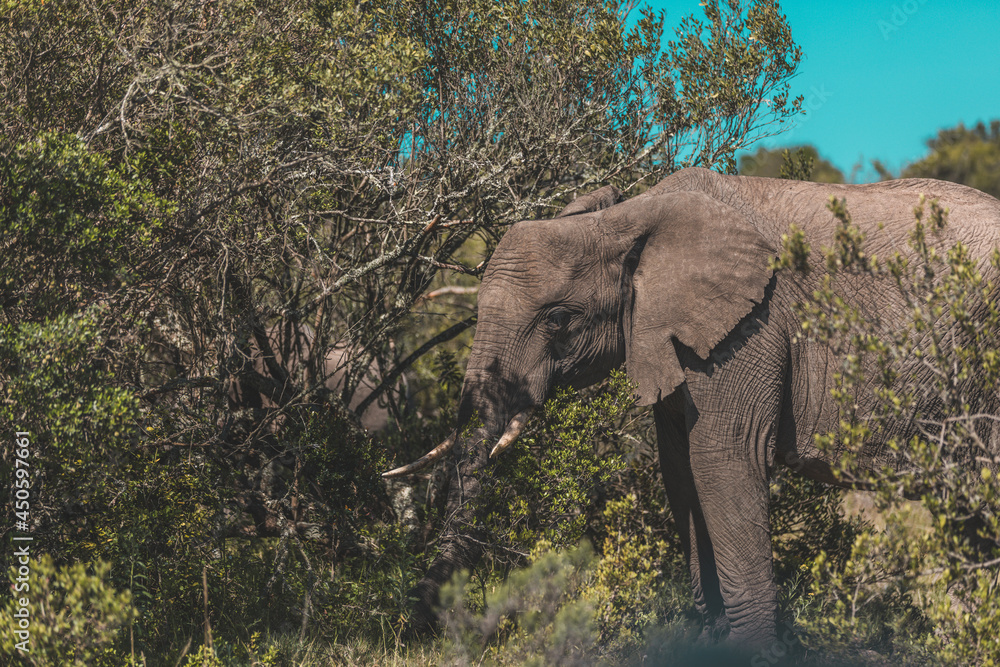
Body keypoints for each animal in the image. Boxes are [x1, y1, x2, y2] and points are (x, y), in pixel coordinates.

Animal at [384, 167, 1000, 647]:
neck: (630, 218)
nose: (420, 627)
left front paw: (752, 651)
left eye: (558, 320)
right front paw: (711, 639)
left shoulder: (750, 326)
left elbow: (723, 461)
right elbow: (680, 471)